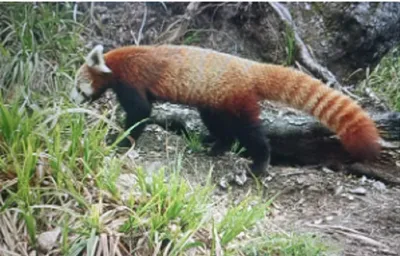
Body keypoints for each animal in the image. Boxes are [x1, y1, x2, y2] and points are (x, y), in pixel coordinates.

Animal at [72, 44, 382, 176]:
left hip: (236, 98)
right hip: (215, 101)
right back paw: (217, 146)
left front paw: (120, 140)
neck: (114, 62)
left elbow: (140, 113)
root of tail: (251, 67)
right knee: (220, 125)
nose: (73, 100)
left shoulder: (132, 79)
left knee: (250, 132)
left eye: (77, 86)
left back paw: (260, 161)